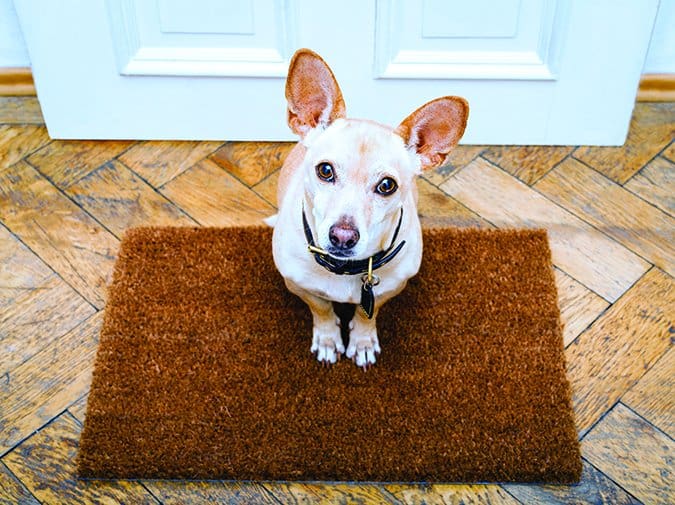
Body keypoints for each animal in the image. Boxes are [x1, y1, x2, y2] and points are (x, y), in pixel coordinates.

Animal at [266, 49, 468, 368]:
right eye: (325, 171)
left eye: (387, 185)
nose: (343, 237)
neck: (346, 271)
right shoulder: (298, 285)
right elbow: (321, 308)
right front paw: (327, 338)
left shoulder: (388, 289)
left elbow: (366, 312)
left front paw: (362, 341)